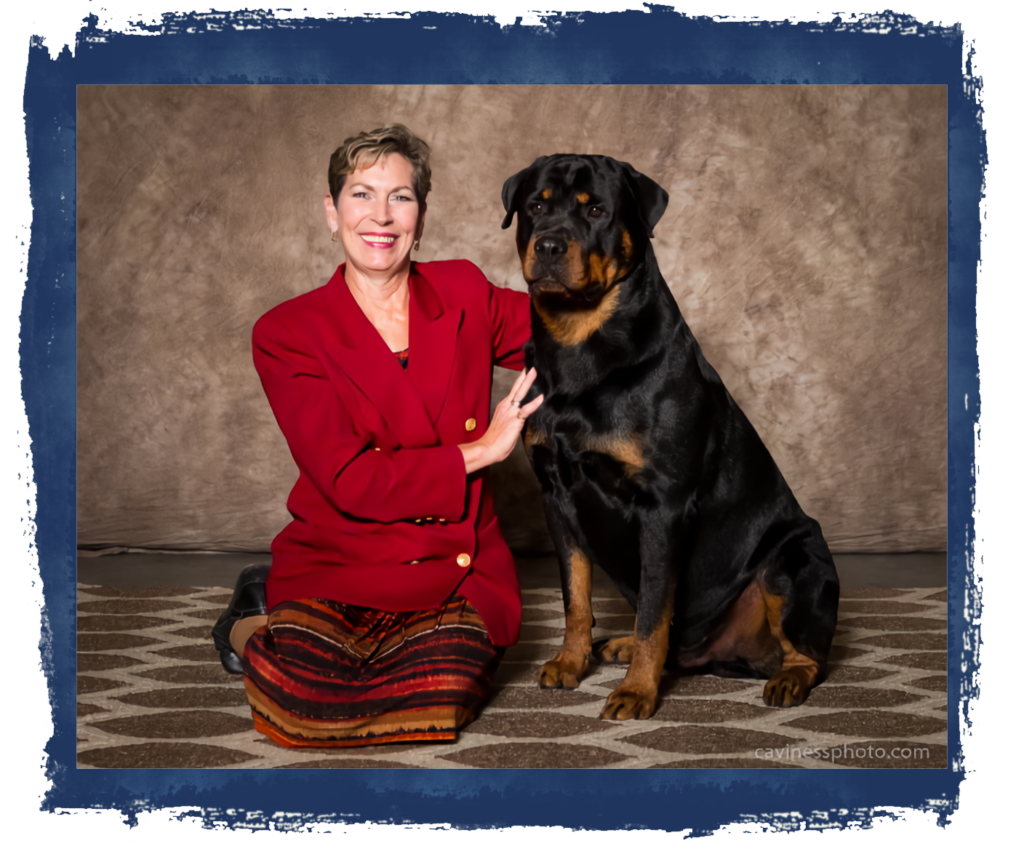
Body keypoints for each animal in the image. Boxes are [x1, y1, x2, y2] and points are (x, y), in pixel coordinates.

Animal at [497, 154, 839, 720]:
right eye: (536, 207)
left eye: (597, 210)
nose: (548, 245)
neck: (580, 344)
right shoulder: (556, 494)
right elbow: (575, 596)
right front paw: (570, 662)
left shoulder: (663, 504)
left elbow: (655, 610)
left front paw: (637, 691)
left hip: (796, 556)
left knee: (807, 650)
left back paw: (788, 678)